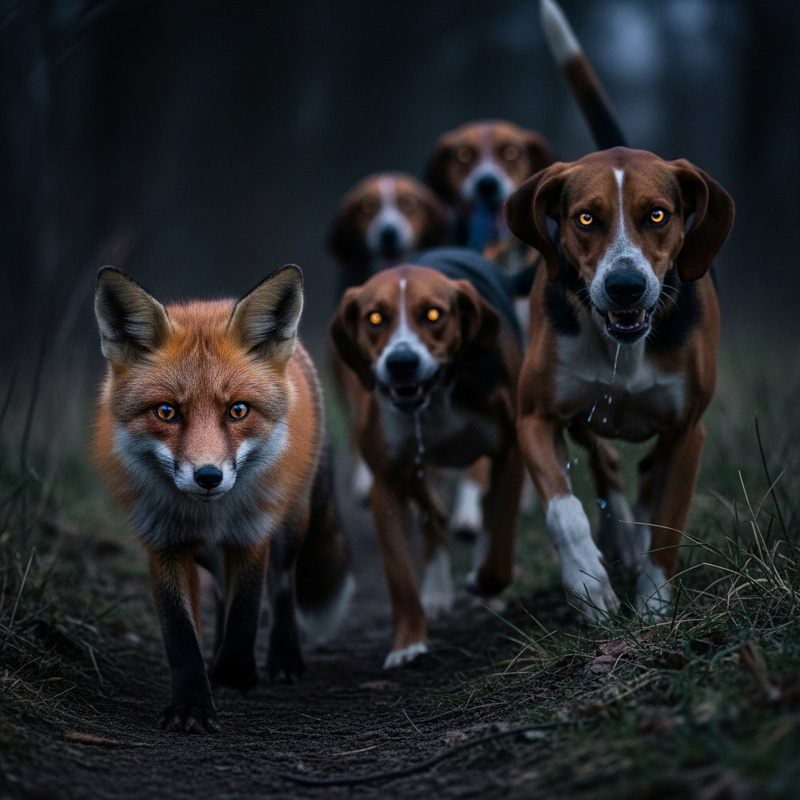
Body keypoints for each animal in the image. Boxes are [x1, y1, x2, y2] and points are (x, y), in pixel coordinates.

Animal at [92, 265, 354, 734]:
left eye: (238, 410)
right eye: (166, 412)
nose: (209, 476)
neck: (207, 516)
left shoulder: (252, 535)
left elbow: (246, 616)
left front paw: (237, 673)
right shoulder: (164, 545)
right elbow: (181, 637)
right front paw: (192, 703)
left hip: (290, 528)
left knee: (282, 587)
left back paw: (283, 658)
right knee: (218, 595)